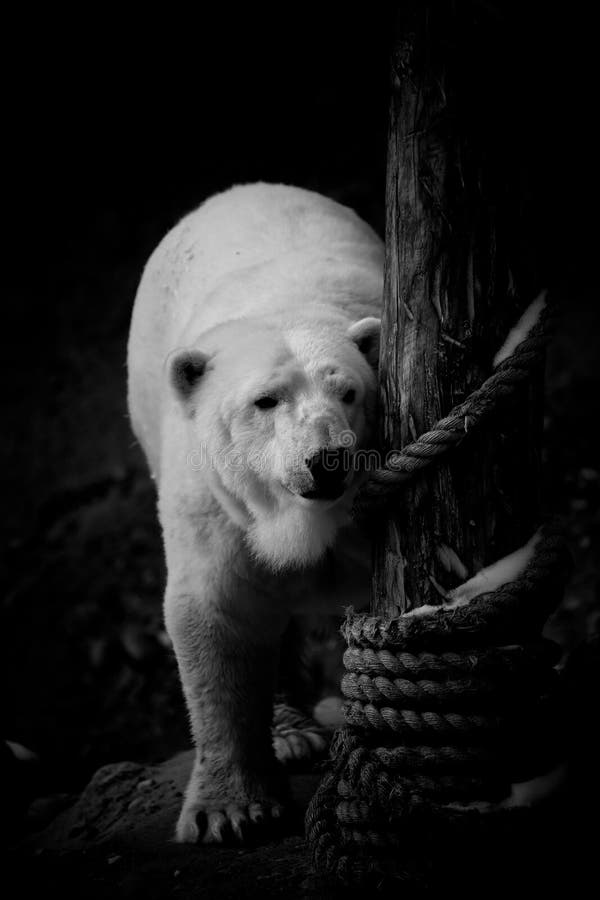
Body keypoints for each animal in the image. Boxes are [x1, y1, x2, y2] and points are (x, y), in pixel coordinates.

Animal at [127, 183, 383, 843]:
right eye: (266, 400)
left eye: (349, 391)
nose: (327, 460)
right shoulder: (218, 504)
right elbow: (220, 612)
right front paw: (230, 812)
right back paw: (292, 734)